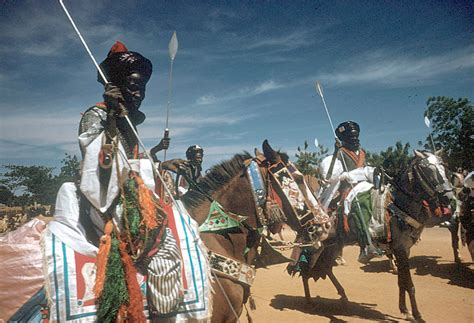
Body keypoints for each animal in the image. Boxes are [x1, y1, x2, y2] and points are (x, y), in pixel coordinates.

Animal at [294, 151, 454, 322]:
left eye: (444, 167)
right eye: (427, 169)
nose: (449, 198)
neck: (397, 205)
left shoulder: (404, 249)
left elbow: (402, 281)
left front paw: (405, 310)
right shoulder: (400, 249)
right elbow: (409, 284)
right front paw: (417, 315)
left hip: (333, 245)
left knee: (324, 266)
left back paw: (343, 297)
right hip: (316, 245)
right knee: (305, 267)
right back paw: (309, 300)